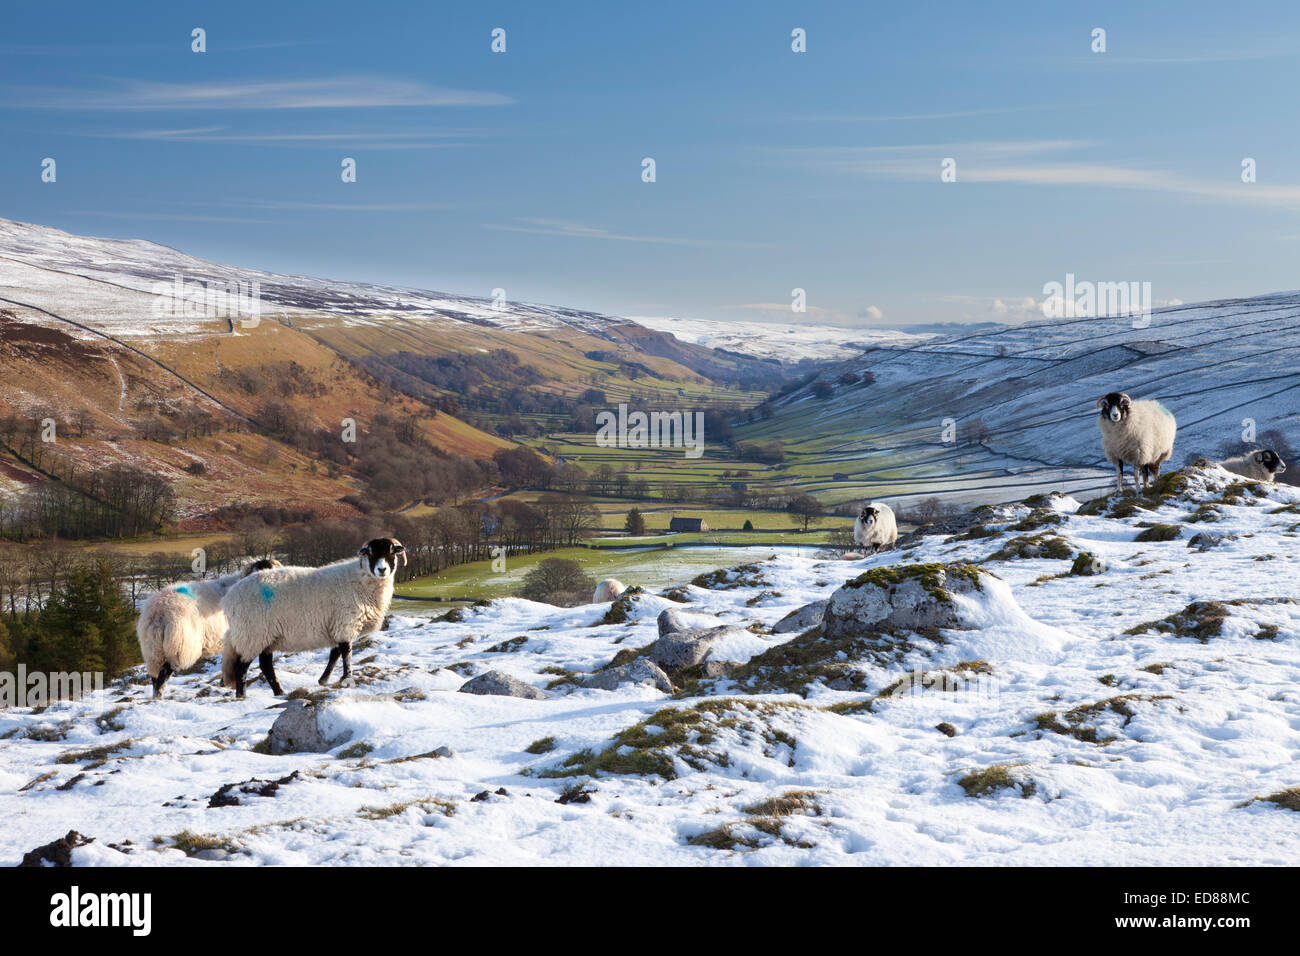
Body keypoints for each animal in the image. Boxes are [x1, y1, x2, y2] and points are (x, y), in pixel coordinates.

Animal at [220, 535, 405, 697]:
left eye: (391, 552)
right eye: (370, 553)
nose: (382, 570)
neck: (361, 579)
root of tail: (229, 597)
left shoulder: (337, 625)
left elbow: (335, 653)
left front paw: (324, 680)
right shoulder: (345, 622)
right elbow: (346, 653)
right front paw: (347, 678)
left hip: (265, 636)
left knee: (265, 665)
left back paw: (279, 693)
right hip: (252, 633)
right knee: (242, 667)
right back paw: (242, 695)